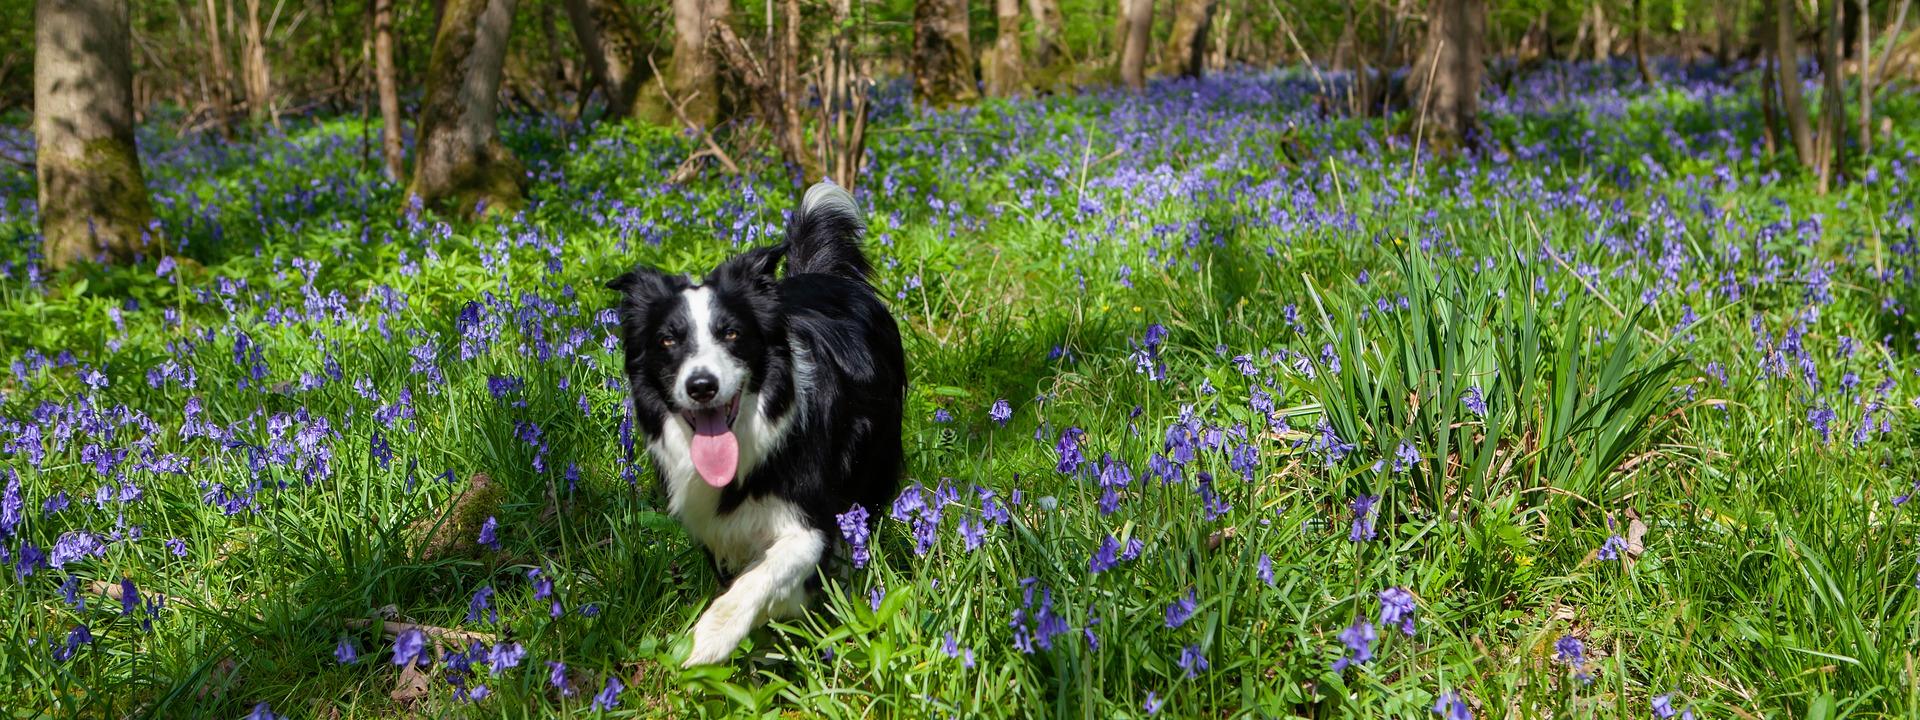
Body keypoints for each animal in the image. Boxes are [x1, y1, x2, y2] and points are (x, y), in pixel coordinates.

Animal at [606, 181, 906, 672]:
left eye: (731, 333)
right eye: (668, 340)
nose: (702, 386)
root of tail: (825, 274)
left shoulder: (811, 520)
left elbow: (764, 574)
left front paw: (710, 637)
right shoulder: (713, 527)